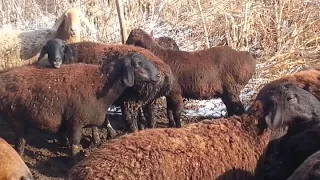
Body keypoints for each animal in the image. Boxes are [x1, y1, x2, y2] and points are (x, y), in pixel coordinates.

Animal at [0, 52, 161, 160]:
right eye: (138, 64)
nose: (158, 76)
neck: (101, 83)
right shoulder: (75, 123)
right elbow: (75, 146)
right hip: (17, 119)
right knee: (20, 143)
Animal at [37, 38, 184, 134]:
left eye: (62, 47)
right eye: (48, 48)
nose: (56, 61)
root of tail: (165, 73)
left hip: (132, 100)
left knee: (132, 121)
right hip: (150, 101)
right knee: (151, 120)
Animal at [124, 27, 255, 115]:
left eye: (131, 41)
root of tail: (247, 56)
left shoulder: (176, 92)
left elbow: (176, 114)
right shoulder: (170, 94)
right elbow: (170, 114)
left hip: (232, 89)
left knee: (239, 109)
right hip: (226, 92)